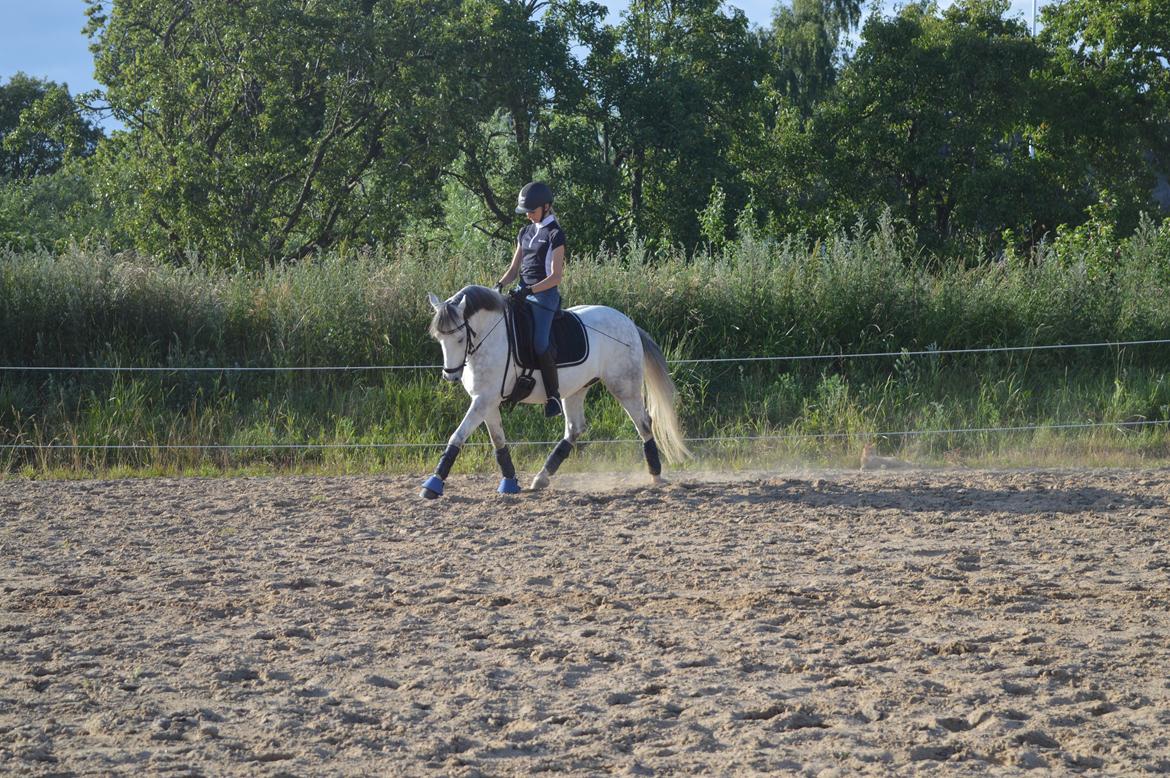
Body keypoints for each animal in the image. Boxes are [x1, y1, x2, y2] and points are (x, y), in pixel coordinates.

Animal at [420, 285, 690, 498]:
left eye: (459, 337)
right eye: (439, 339)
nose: (450, 375)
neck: (490, 337)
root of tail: (630, 323)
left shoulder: (484, 400)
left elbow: (457, 436)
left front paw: (433, 484)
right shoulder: (486, 400)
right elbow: (498, 440)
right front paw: (509, 482)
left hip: (624, 386)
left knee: (643, 423)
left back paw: (656, 475)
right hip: (576, 389)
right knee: (575, 428)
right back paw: (541, 477)